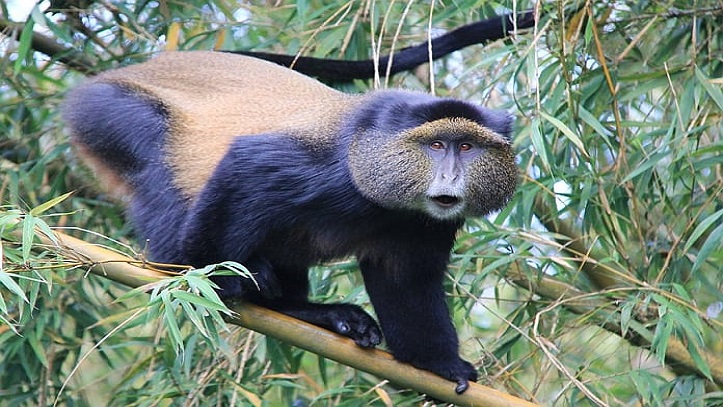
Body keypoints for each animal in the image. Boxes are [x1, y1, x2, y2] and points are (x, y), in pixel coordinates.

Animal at [62, 51, 517, 394]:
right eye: (437, 145)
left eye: (468, 146)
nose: (450, 177)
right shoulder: (328, 169)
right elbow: (246, 165)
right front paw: (206, 274)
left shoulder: (427, 225)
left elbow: (405, 281)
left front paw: (438, 363)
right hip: (107, 112)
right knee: (158, 164)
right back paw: (186, 268)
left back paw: (306, 312)